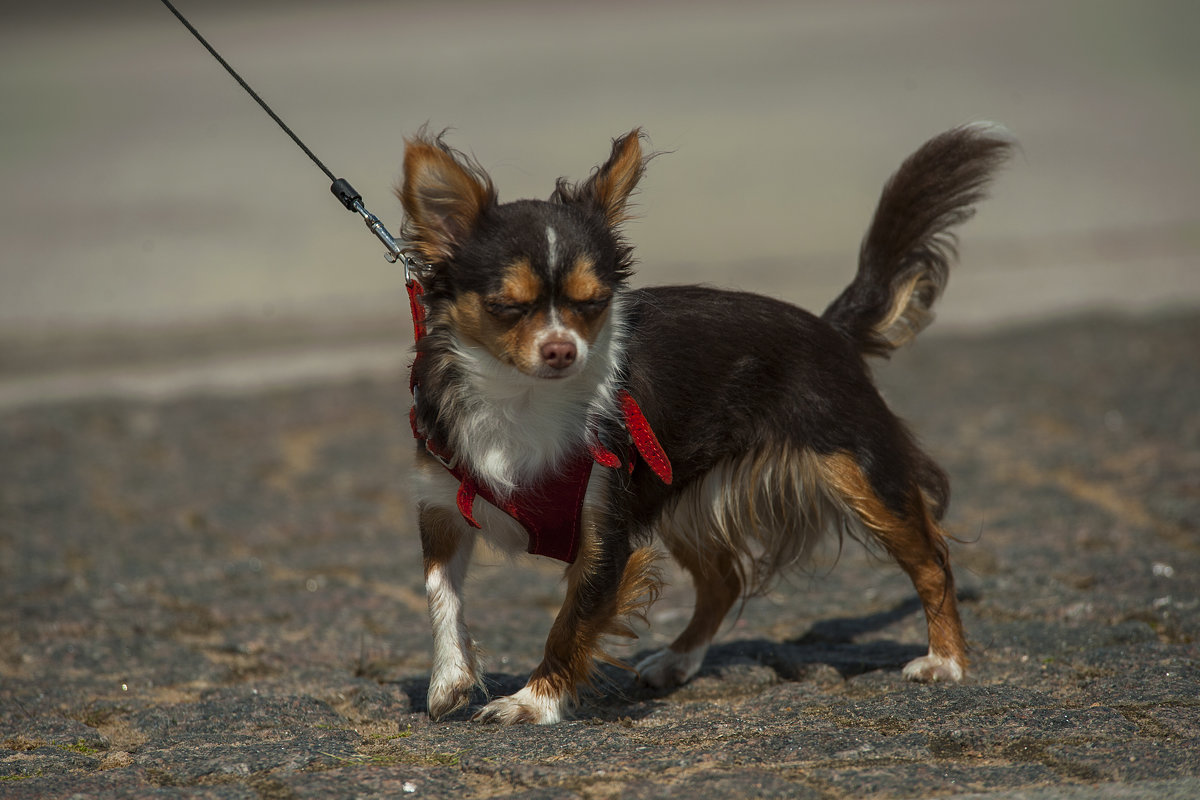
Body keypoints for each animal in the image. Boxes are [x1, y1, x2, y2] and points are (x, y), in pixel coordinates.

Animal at [396, 120, 1012, 724]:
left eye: (593, 303)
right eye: (506, 307)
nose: (561, 350)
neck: (522, 400)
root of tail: (830, 328)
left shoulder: (606, 534)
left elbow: (570, 623)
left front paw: (535, 700)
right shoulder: (443, 504)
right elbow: (439, 592)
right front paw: (450, 679)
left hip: (858, 473)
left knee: (932, 559)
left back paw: (946, 660)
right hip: (679, 493)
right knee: (724, 580)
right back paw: (677, 661)